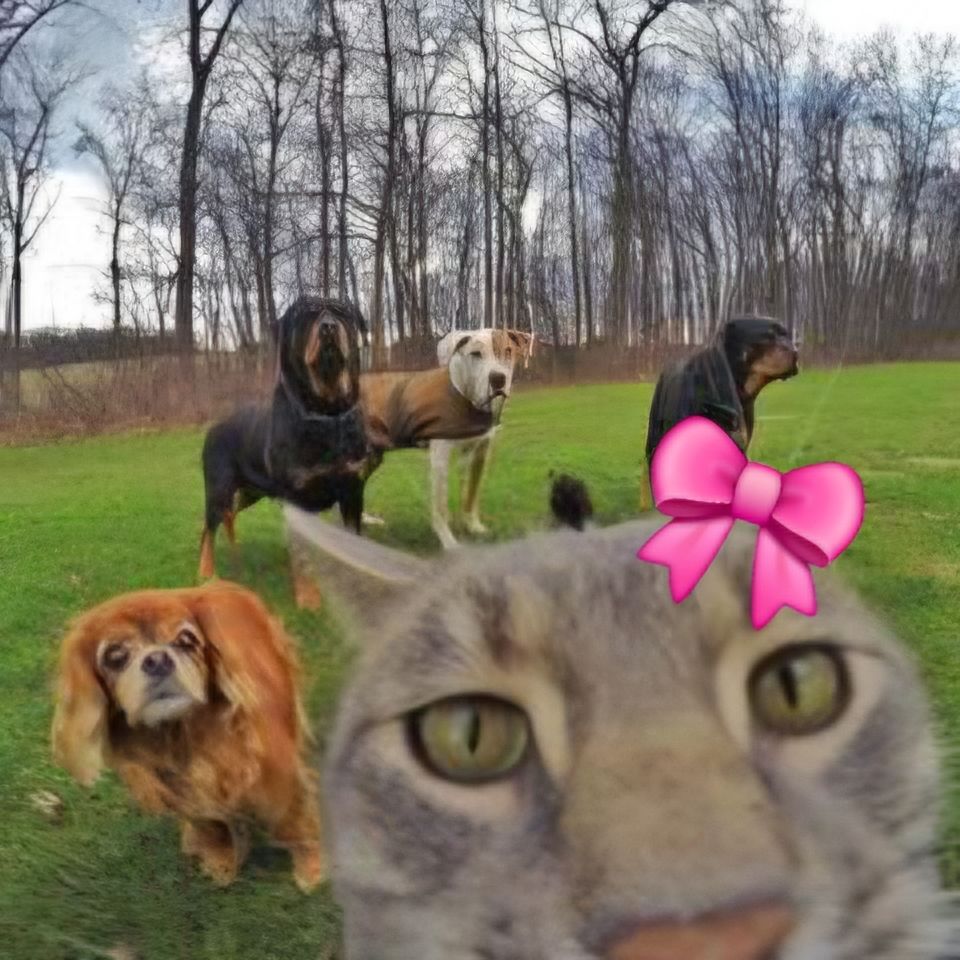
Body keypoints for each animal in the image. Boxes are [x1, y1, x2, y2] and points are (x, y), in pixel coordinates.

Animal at [50, 581, 324, 891]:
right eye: (115, 656)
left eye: (186, 640)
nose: (157, 659)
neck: (183, 732)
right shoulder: (184, 793)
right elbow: (213, 826)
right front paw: (221, 860)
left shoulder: (280, 772)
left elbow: (295, 818)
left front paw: (311, 866)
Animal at [199, 296, 370, 579]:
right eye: (307, 314)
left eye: (342, 313)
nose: (328, 327)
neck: (326, 412)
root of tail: (212, 428)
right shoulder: (297, 497)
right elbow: (302, 557)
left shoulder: (353, 490)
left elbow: (354, 543)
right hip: (219, 487)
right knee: (210, 523)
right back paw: (206, 570)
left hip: (249, 492)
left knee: (228, 515)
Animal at [426, 328, 535, 549]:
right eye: (476, 354)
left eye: (508, 351)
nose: (498, 379)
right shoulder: (440, 455)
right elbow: (440, 504)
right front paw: (448, 540)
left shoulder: (481, 449)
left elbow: (471, 492)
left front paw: (472, 525)